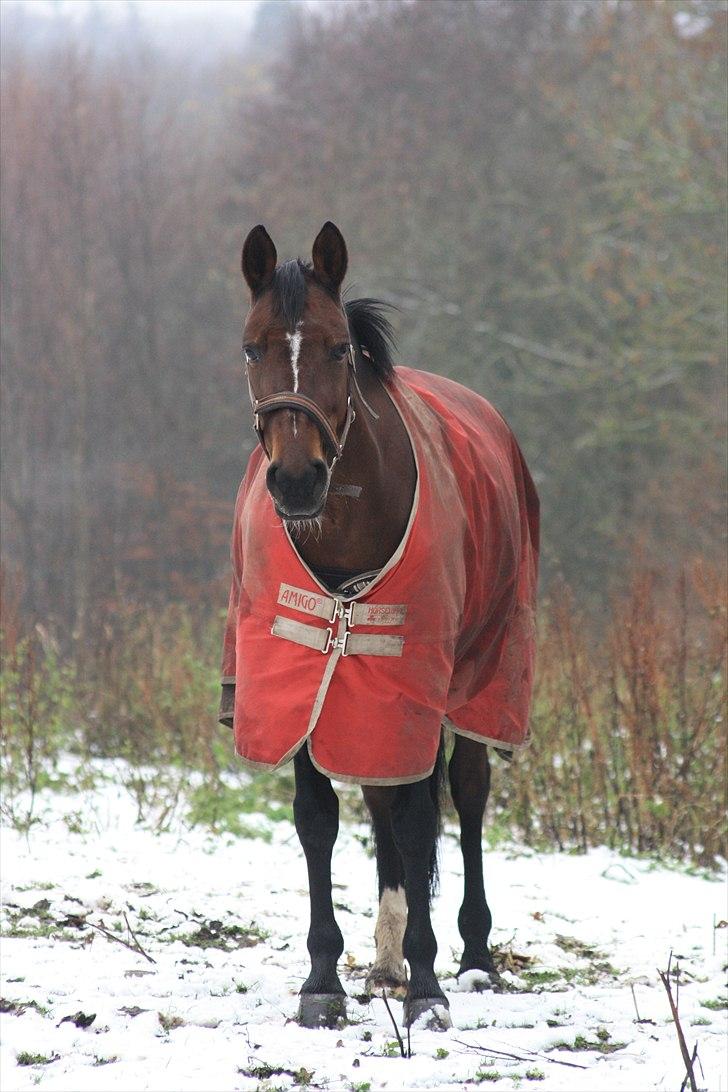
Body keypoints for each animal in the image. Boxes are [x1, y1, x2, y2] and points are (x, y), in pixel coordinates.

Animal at [222, 223, 541, 1030]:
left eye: (339, 349)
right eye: (250, 346)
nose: (296, 479)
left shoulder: (413, 684)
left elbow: (423, 819)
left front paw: (429, 987)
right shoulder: (302, 686)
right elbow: (319, 818)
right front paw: (323, 980)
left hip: (475, 679)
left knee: (464, 790)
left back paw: (473, 955)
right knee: (381, 795)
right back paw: (389, 957)